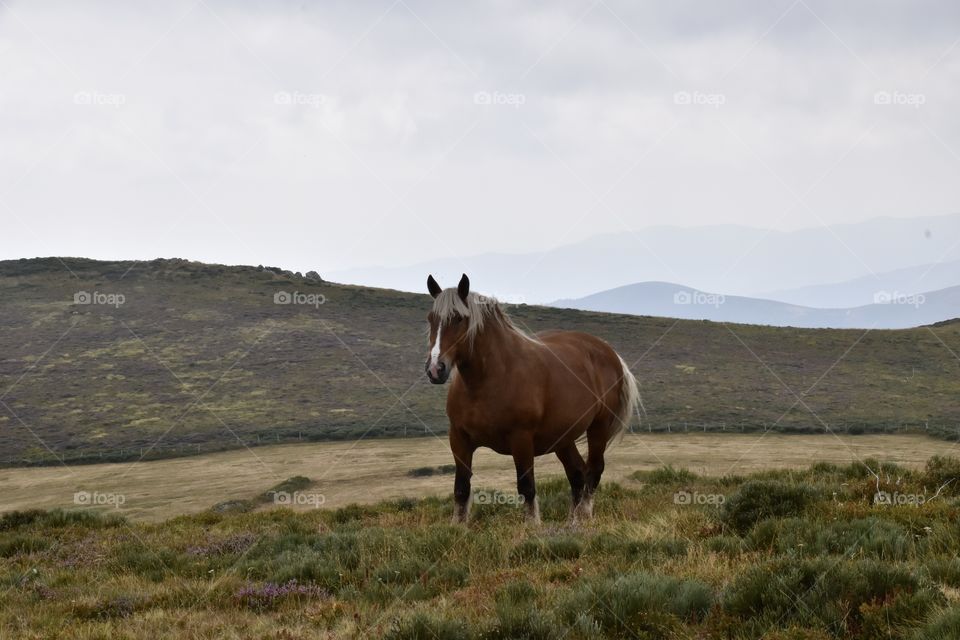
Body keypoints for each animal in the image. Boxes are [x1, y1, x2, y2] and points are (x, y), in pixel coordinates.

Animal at [424, 273, 641, 524]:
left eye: (459, 318)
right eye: (431, 319)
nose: (435, 369)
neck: (487, 381)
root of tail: (609, 352)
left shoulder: (521, 439)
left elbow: (527, 487)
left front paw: (532, 525)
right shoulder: (459, 439)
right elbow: (461, 488)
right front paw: (457, 527)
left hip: (598, 427)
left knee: (594, 471)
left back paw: (583, 517)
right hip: (563, 438)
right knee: (577, 474)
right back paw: (572, 522)